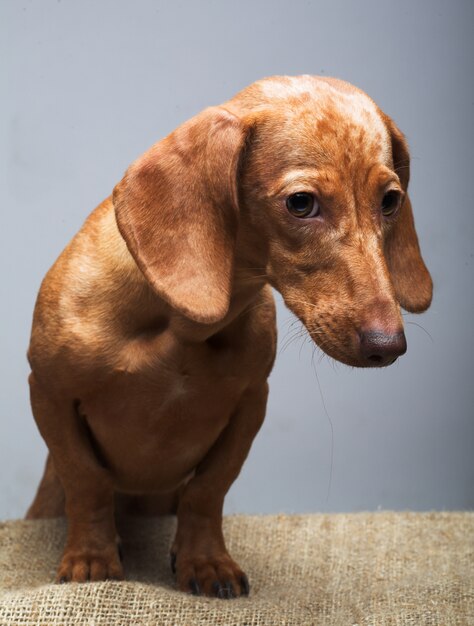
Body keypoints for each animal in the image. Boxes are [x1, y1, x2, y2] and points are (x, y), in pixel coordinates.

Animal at [26, 74, 434, 596]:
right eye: (301, 203)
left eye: (390, 201)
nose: (389, 346)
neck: (183, 327)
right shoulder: (50, 393)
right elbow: (87, 480)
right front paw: (91, 558)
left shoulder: (250, 405)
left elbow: (207, 491)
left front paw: (205, 561)